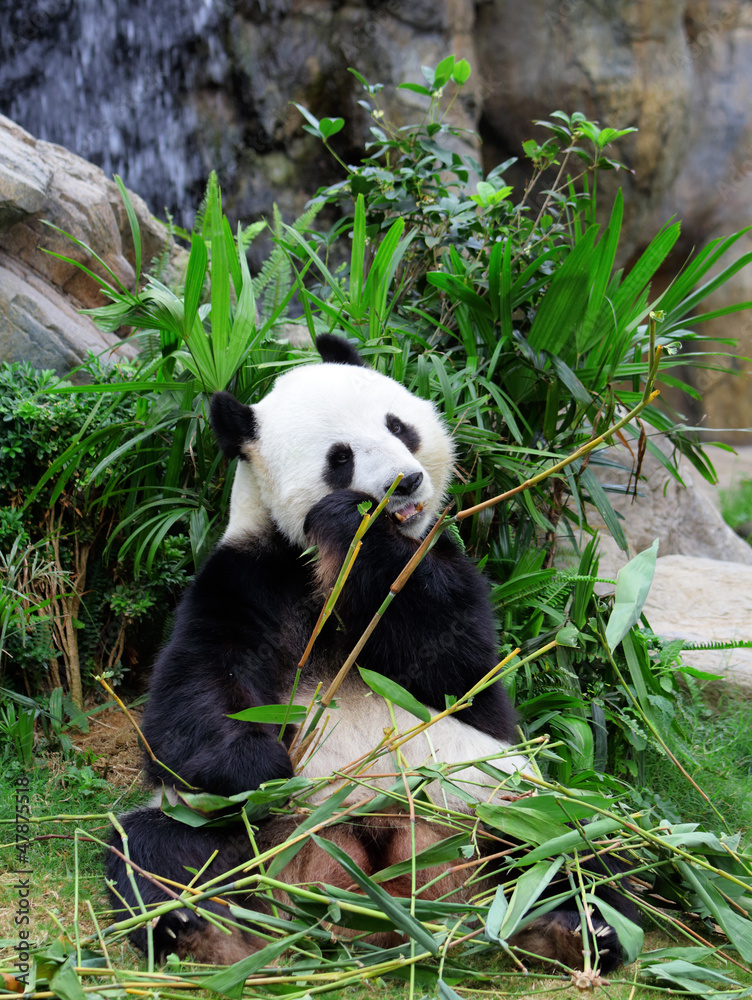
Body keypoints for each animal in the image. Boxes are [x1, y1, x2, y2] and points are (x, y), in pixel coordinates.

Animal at [107, 334, 636, 969]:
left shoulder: (439, 560)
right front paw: (259, 765)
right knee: (163, 851)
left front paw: (354, 527)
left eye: (397, 425)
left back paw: (576, 928)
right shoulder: (245, 579)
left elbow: (455, 665)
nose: (404, 482)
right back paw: (198, 930)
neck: (318, 565)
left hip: (500, 799)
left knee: (579, 844)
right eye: (340, 458)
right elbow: (195, 693)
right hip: (249, 828)